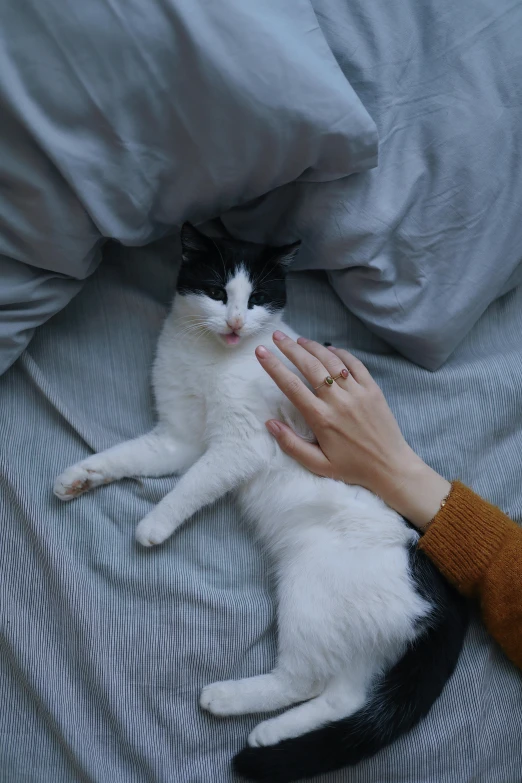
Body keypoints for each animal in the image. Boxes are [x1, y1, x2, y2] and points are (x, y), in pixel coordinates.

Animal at [54, 224, 466, 783]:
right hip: (356, 625)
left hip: (312, 592)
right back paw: (271, 733)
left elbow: (194, 484)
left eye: (256, 300)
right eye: (215, 291)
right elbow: (128, 455)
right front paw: (79, 476)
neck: (211, 358)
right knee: (344, 696)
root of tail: (439, 587)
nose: (233, 322)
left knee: (304, 679)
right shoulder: (178, 439)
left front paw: (155, 524)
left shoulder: (240, 444)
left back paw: (226, 699)